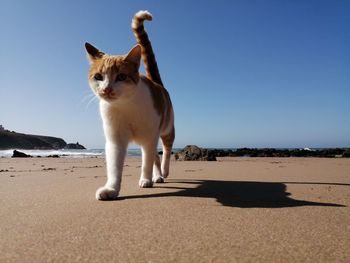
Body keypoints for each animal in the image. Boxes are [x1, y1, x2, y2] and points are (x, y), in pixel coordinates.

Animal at [85, 9, 175, 200]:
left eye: (121, 77)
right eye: (98, 77)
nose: (107, 89)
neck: (126, 106)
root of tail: (156, 83)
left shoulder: (149, 137)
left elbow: (147, 162)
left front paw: (146, 180)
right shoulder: (115, 140)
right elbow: (114, 167)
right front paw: (111, 189)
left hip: (166, 128)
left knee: (165, 150)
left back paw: (163, 171)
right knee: (156, 156)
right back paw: (158, 176)